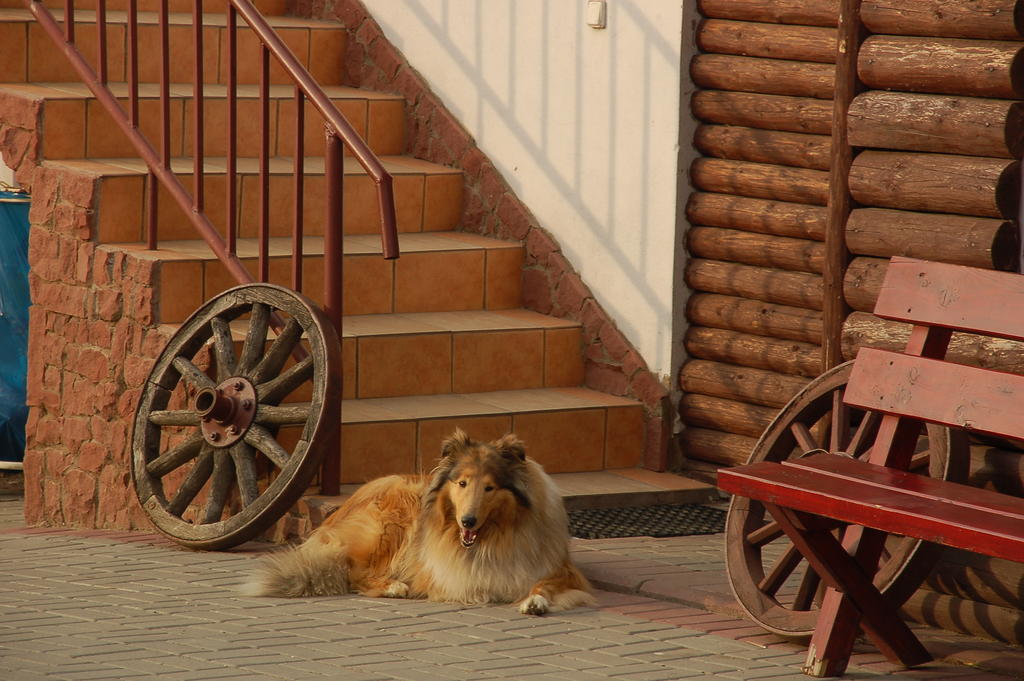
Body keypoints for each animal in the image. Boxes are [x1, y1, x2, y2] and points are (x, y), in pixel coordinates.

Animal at [243, 428, 593, 614]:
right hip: (391, 524)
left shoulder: (561, 569)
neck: (495, 536)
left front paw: (535, 600)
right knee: (353, 572)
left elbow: (542, 583)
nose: (467, 521)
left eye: (489, 487)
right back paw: (394, 586)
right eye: (462, 483)